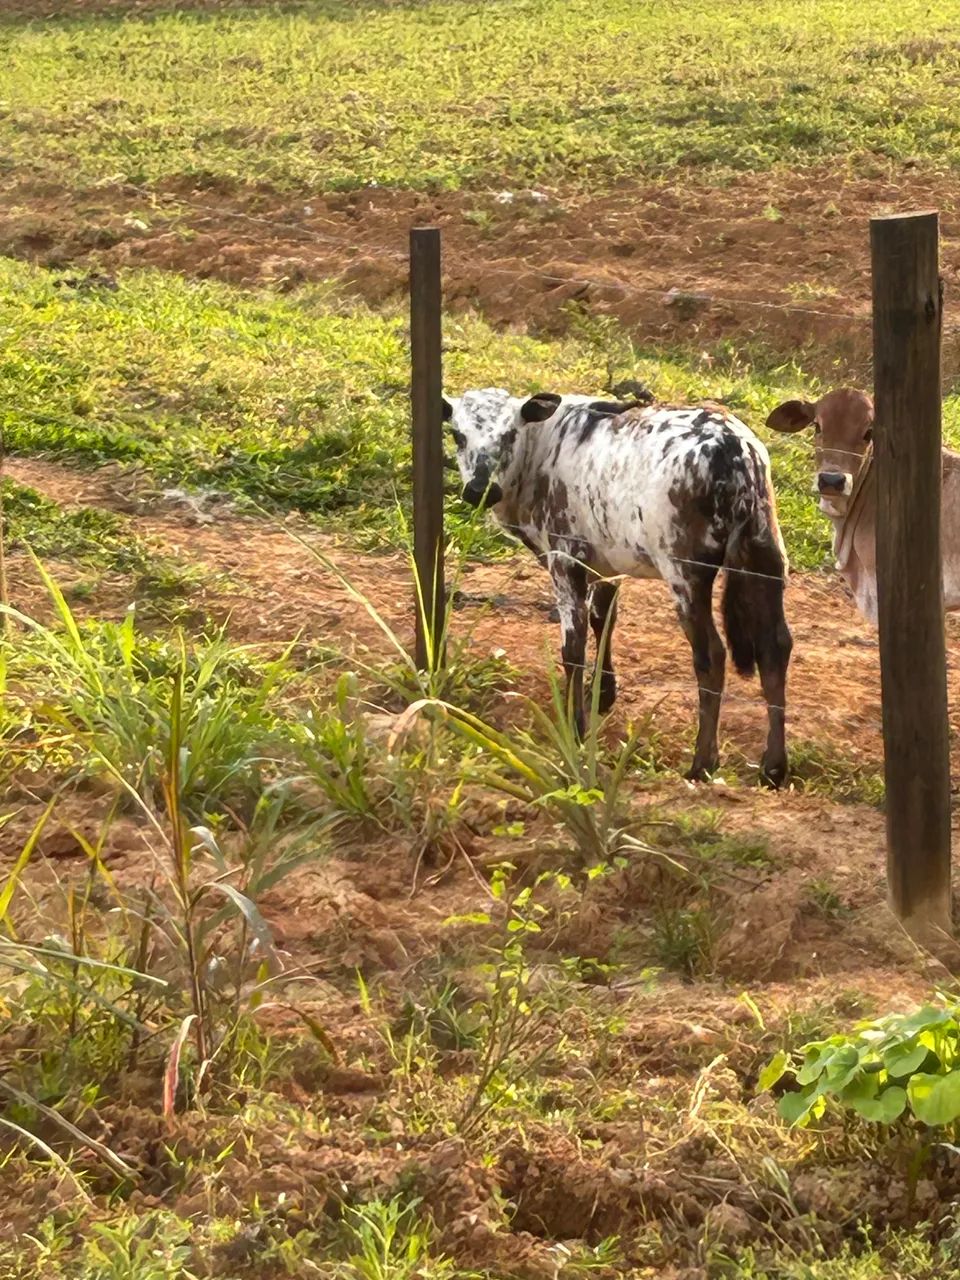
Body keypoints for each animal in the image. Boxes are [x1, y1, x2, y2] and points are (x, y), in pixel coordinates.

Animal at [443, 389, 794, 786]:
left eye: (509, 435)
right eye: (457, 435)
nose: (479, 491)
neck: (538, 452)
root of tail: (736, 452)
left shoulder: (564, 557)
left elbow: (573, 648)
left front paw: (575, 726)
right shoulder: (607, 559)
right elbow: (604, 618)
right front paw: (603, 693)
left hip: (685, 569)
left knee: (711, 655)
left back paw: (703, 762)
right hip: (765, 550)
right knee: (775, 648)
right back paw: (774, 766)